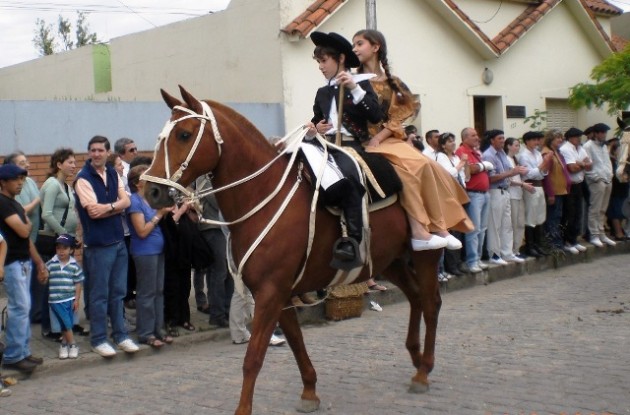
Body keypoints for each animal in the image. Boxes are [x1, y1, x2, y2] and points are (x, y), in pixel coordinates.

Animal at [143, 86, 444, 414]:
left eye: (184, 134)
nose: (151, 191)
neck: (262, 196)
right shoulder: (279, 293)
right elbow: (296, 342)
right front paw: (309, 391)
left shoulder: (271, 292)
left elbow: (253, 358)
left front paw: (244, 409)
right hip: (390, 260)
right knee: (415, 297)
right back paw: (417, 358)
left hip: (424, 254)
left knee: (431, 303)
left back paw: (424, 370)